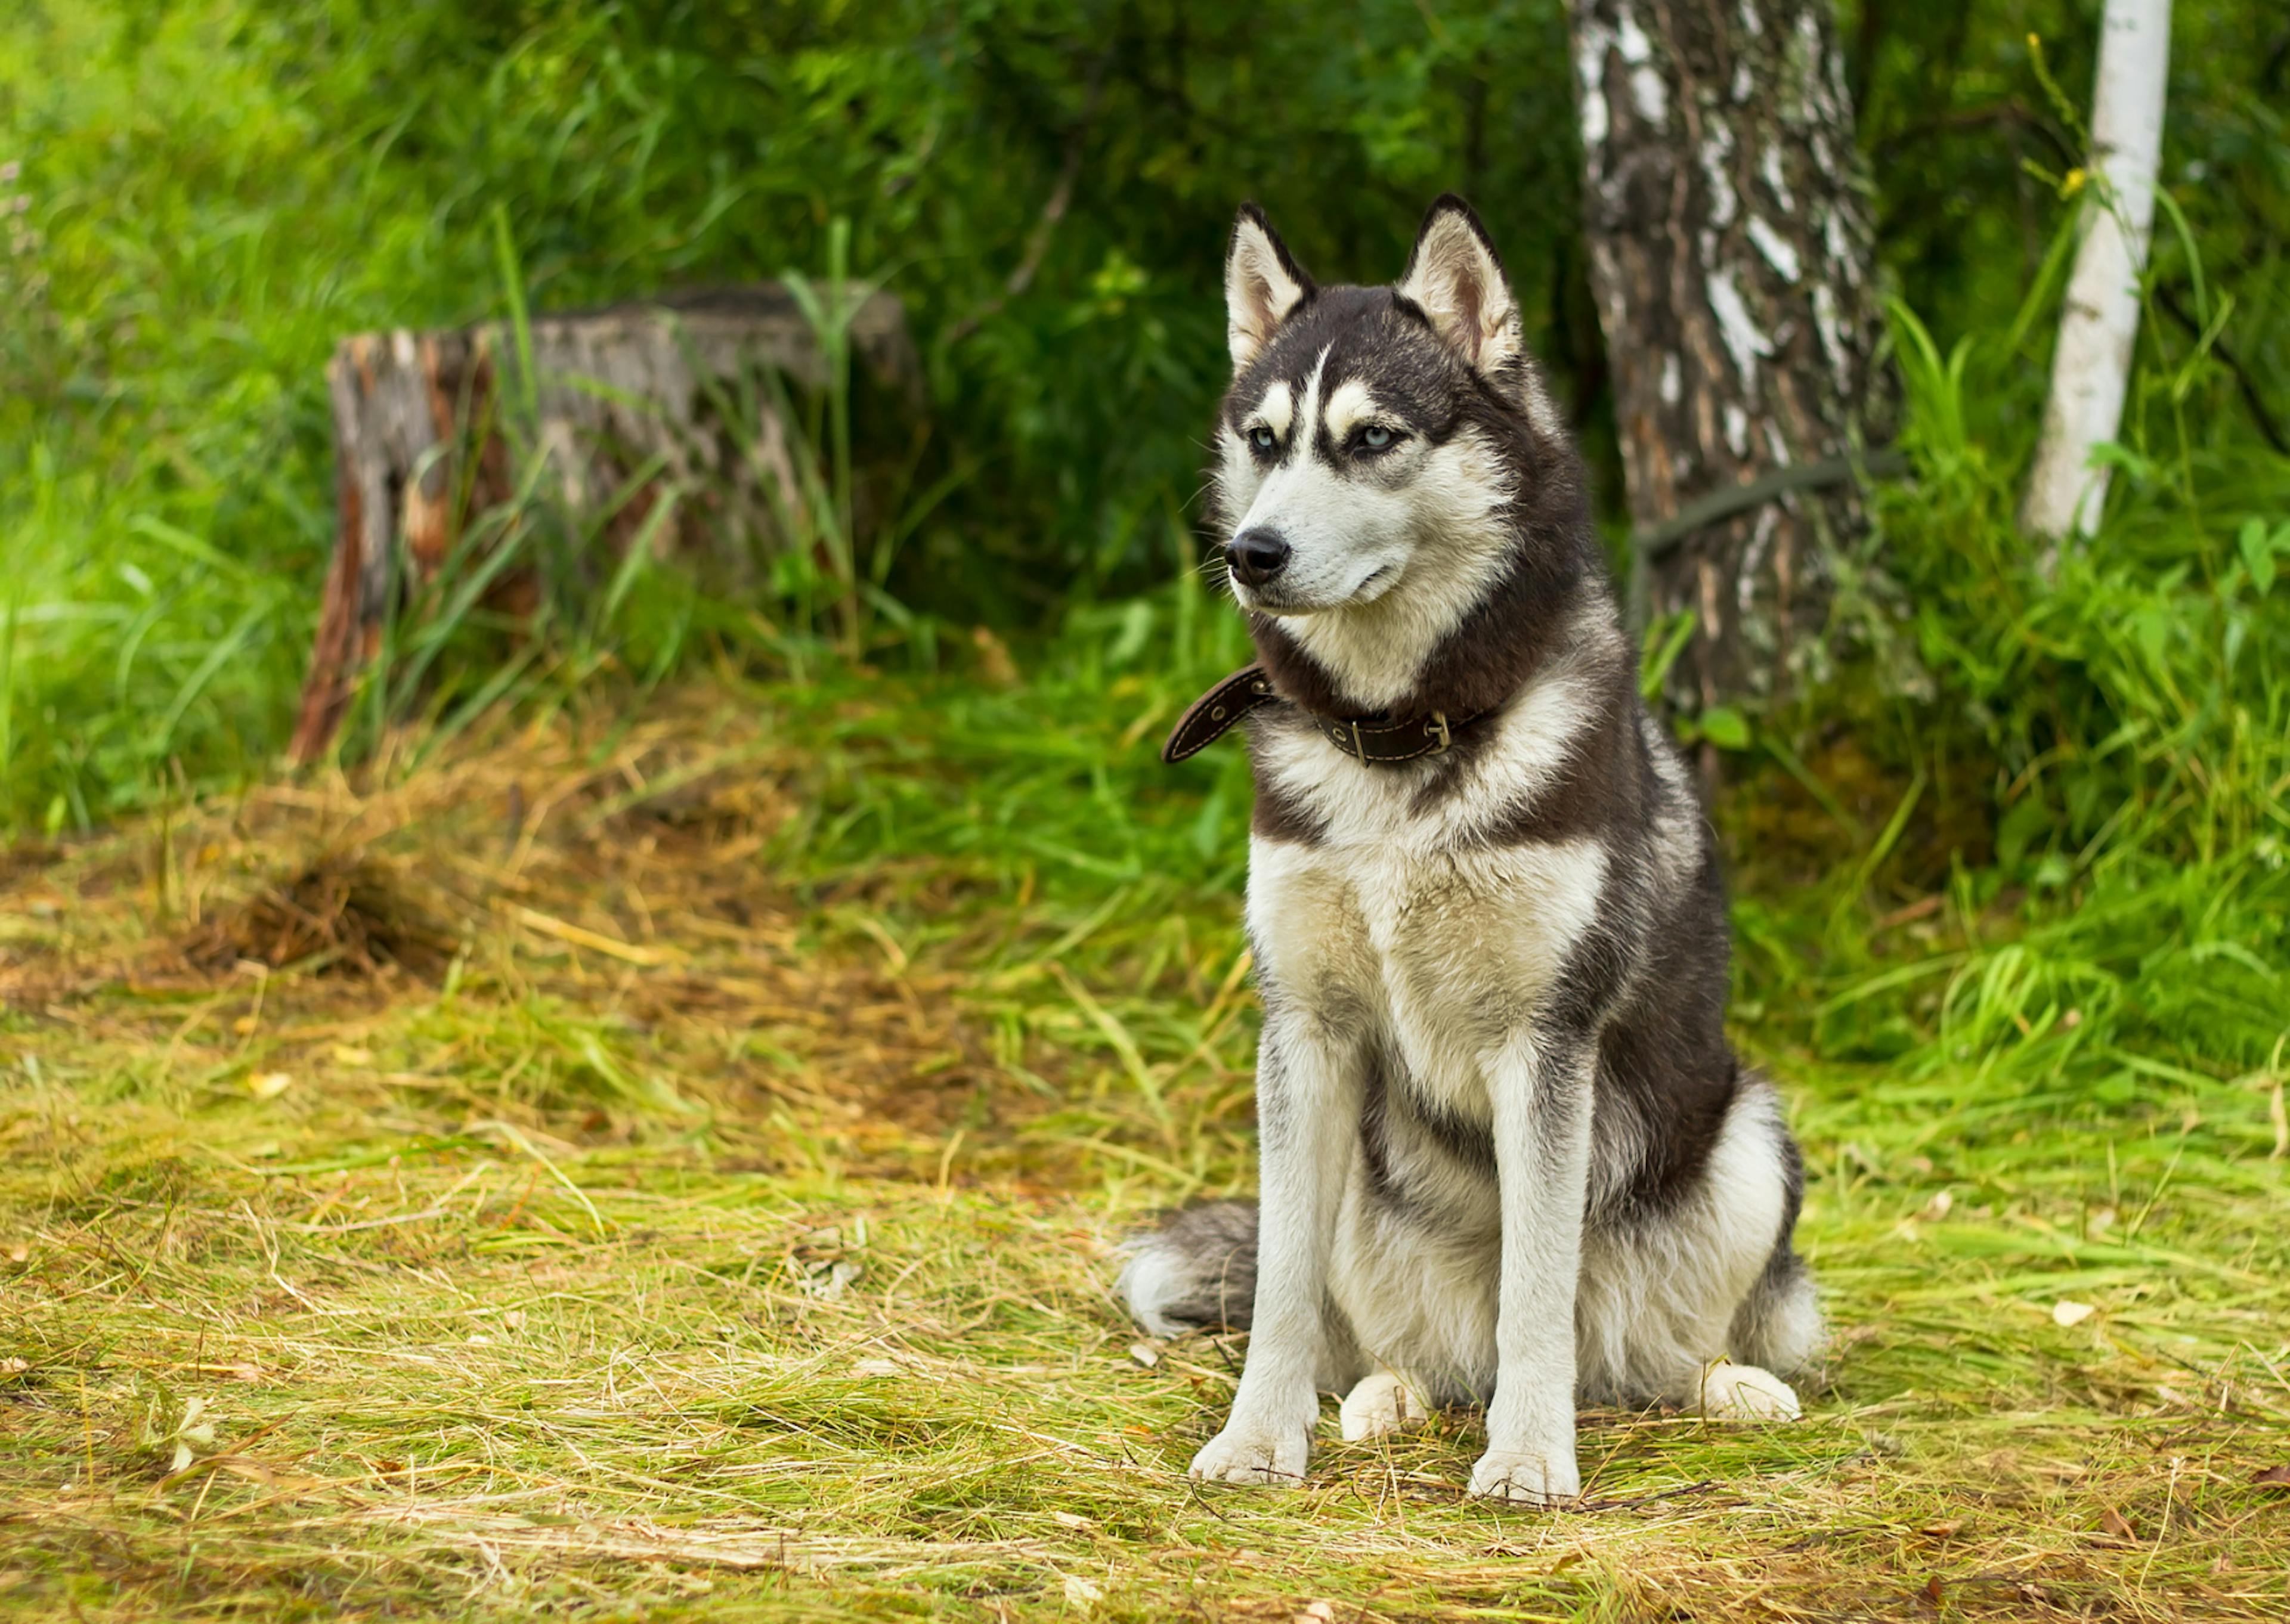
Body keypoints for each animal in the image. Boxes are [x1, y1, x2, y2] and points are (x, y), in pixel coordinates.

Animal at [1117, 203, 1814, 1511]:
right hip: (1364, 1176)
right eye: (1266, 439)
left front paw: (1531, 1457)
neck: (1402, 738)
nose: (1250, 552)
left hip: (1747, 1138)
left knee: (1666, 1345)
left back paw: (1730, 1389)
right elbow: (1283, 1292)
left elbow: (1536, 1287)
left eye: (1372, 438)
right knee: (1404, 1347)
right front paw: (1257, 1439)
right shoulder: (1306, 1030)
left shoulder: (1546, 1043)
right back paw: (1381, 1399)